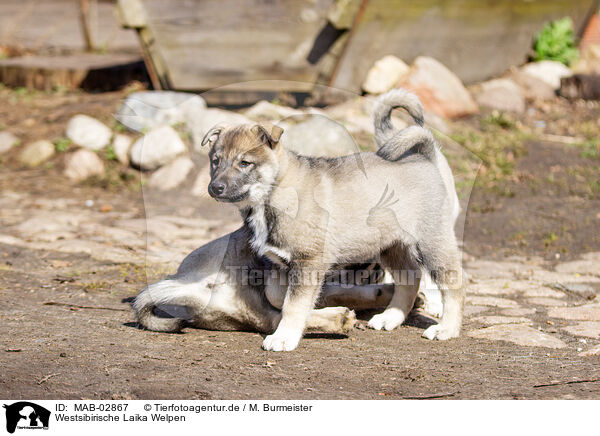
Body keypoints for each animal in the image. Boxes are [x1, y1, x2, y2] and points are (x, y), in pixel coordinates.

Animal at [203, 88, 464, 350]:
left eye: (245, 163)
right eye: (215, 161)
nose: (215, 188)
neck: (274, 190)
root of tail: (424, 157)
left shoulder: (308, 261)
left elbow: (293, 305)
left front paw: (284, 337)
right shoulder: (282, 264)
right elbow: (280, 299)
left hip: (432, 242)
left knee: (452, 285)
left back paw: (447, 329)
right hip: (391, 245)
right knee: (410, 277)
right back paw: (390, 318)